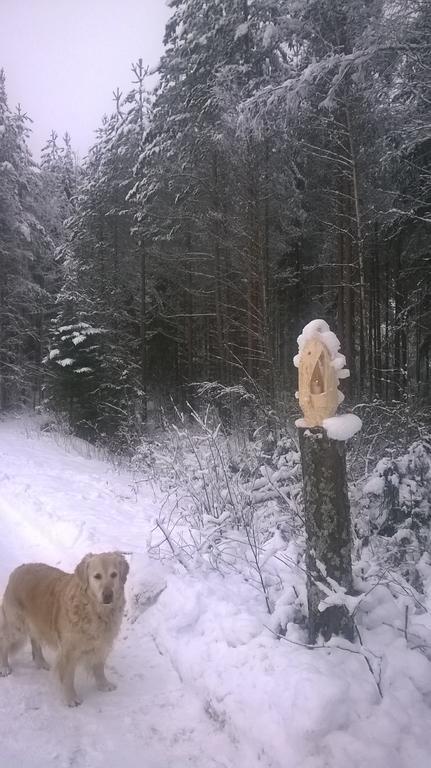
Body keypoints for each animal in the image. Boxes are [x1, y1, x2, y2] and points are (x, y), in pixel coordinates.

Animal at [0, 552, 128, 708]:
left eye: (114, 574)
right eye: (97, 576)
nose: (108, 595)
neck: (93, 609)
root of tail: (19, 568)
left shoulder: (102, 644)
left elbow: (99, 666)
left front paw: (103, 684)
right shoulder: (68, 651)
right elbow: (68, 677)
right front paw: (71, 698)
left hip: (36, 623)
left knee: (35, 641)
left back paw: (41, 662)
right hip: (15, 625)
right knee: (4, 642)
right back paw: (4, 667)